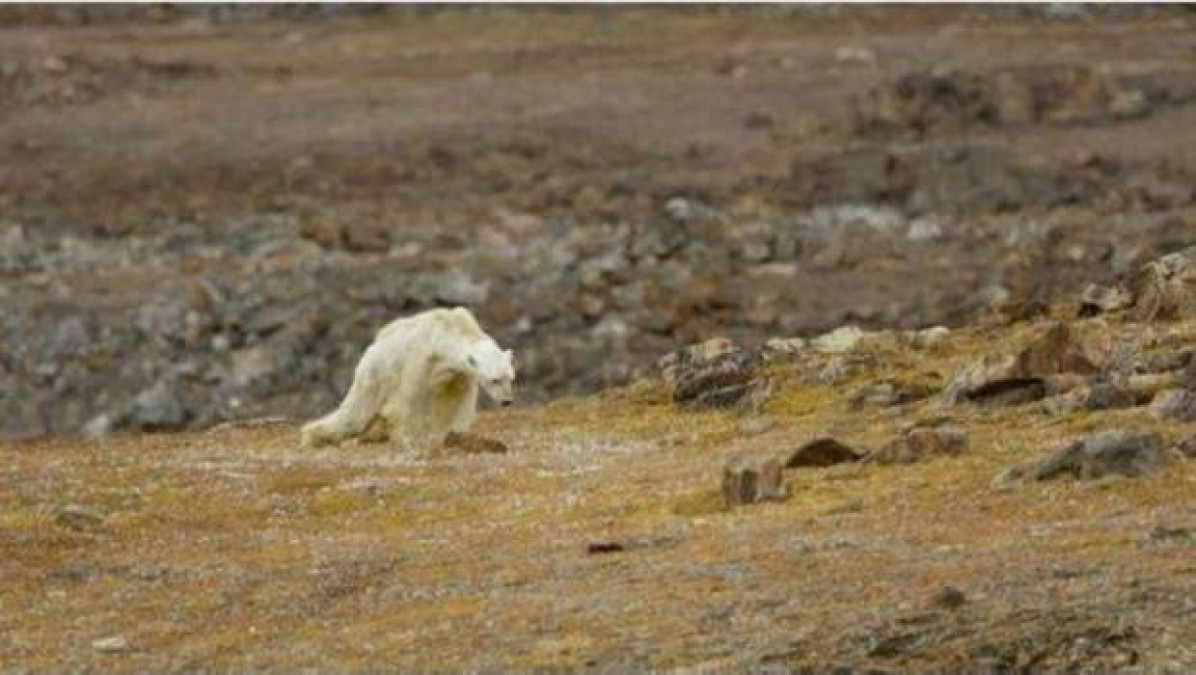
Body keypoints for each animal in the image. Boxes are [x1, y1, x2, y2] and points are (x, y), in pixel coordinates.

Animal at [301, 307, 515, 448]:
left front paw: (455, 434)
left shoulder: (459, 375)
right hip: (376, 372)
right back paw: (313, 435)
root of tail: (372, 346)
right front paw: (408, 437)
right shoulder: (419, 360)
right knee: (355, 411)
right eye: (494, 380)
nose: (507, 401)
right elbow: (407, 400)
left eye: (510, 378)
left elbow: (457, 402)